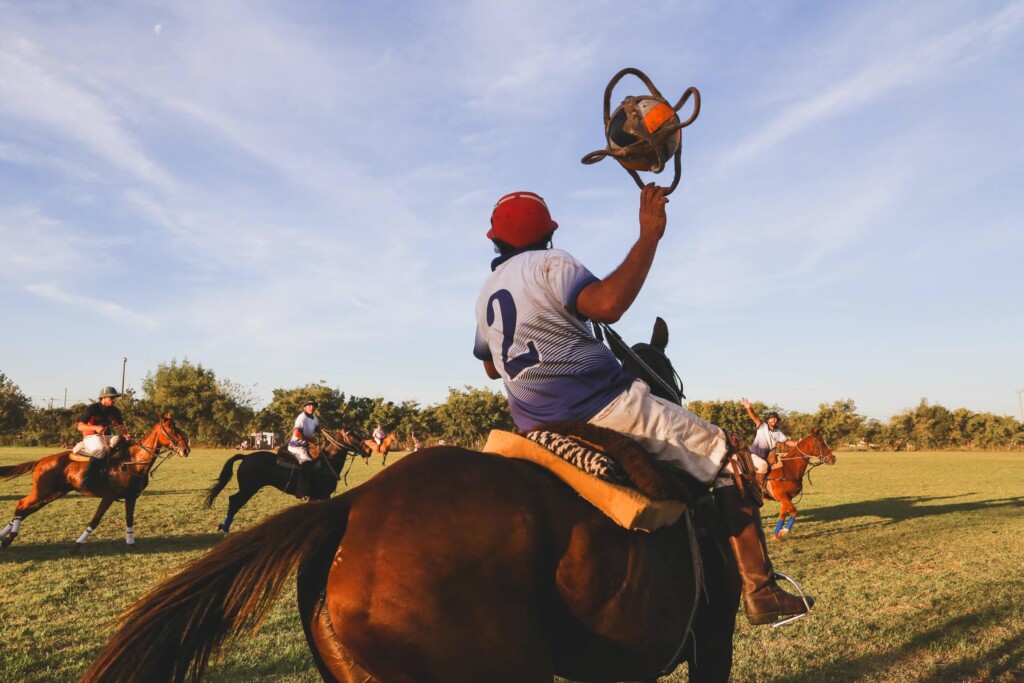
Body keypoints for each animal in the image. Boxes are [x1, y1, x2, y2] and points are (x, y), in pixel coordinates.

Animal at [0, 411, 191, 557]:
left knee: (26, 510)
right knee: (21, 504)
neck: (133, 461)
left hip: (54, 493)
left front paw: (132, 543)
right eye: (171, 429)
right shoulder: (109, 496)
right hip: (43, 490)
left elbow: (129, 519)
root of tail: (41, 461)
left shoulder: (131, 497)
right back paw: (9, 537)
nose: (186, 449)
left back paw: (4, 537)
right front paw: (76, 546)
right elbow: (95, 520)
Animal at [203, 428, 368, 532]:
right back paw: (225, 528)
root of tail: (245, 457)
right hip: (249, 488)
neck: (328, 462)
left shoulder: (317, 497)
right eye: (353, 435)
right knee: (234, 501)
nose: (369, 450)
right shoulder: (322, 495)